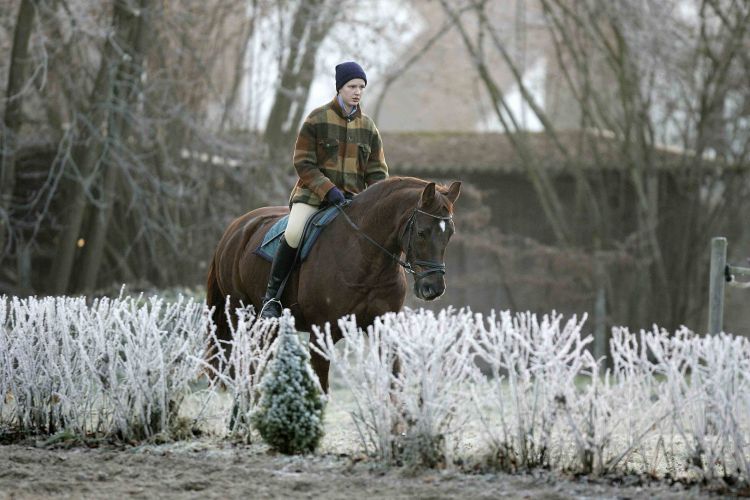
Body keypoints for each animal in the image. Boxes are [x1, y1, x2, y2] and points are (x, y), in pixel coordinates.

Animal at [209, 176, 462, 390]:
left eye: (449, 234)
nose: (433, 289)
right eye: (421, 232)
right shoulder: (322, 331)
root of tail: (236, 227)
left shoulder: (383, 327)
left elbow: (394, 380)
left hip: (269, 328)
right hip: (242, 316)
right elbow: (322, 388)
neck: (366, 259)